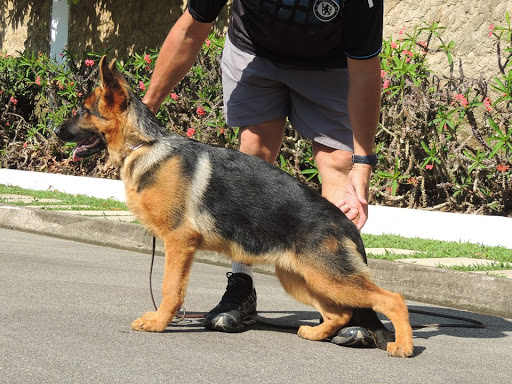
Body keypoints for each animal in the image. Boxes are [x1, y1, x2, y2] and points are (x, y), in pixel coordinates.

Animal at [54, 56, 414, 356]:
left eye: (84, 110)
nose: (56, 130)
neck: (144, 144)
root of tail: (345, 221)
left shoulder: (179, 243)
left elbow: (170, 289)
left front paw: (158, 322)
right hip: (301, 278)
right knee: (339, 312)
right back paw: (316, 333)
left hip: (328, 277)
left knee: (393, 300)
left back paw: (403, 346)